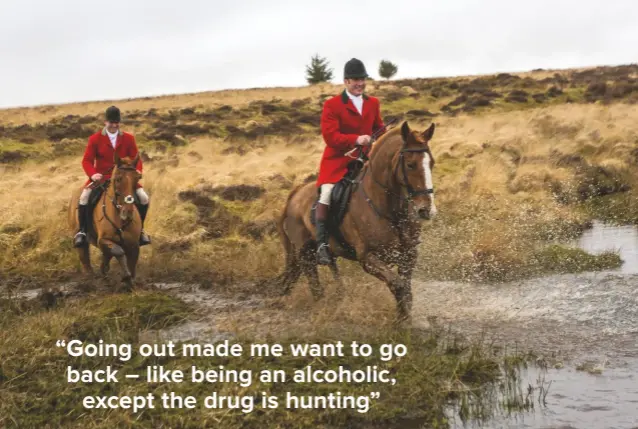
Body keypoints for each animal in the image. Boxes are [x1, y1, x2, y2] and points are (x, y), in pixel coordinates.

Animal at [69, 152, 146, 290]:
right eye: (118, 179)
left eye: (138, 178)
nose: (127, 213)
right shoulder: (103, 240)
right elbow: (119, 251)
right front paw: (125, 276)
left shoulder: (133, 244)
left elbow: (131, 264)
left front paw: (130, 282)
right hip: (80, 240)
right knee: (86, 261)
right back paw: (91, 281)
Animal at [278, 120, 438, 320]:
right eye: (410, 165)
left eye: (431, 163)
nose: (426, 210)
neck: (391, 211)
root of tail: (294, 194)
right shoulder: (368, 258)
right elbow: (398, 285)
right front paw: (401, 321)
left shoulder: (409, 255)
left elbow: (406, 289)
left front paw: (405, 319)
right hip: (304, 252)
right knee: (314, 282)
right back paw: (324, 306)